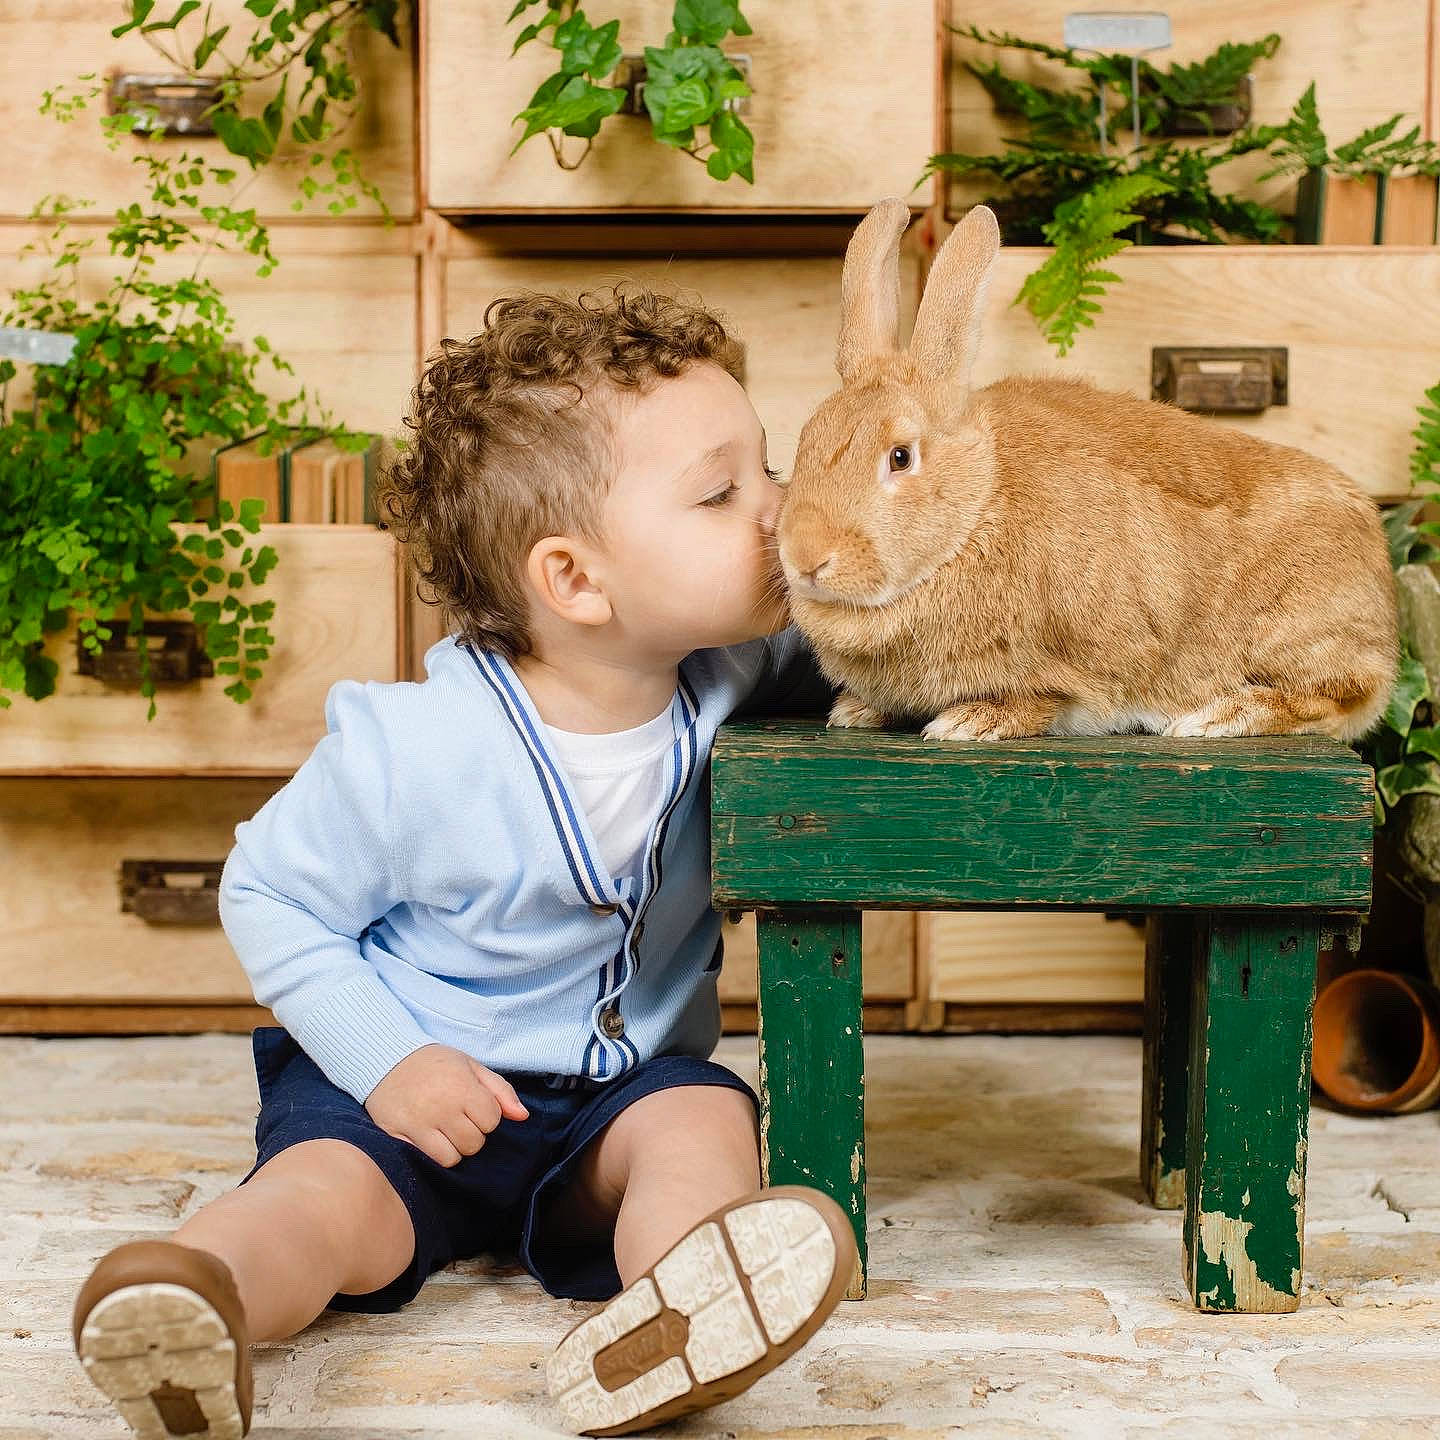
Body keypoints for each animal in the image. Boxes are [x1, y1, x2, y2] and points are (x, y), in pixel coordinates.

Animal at [773, 197, 1399, 743]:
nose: (805, 557)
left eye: (900, 457)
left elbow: (1040, 699)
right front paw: (855, 711)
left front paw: (970, 723)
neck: (974, 516)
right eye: (805, 440)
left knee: (1335, 696)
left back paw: (1221, 715)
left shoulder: (1068, 665)